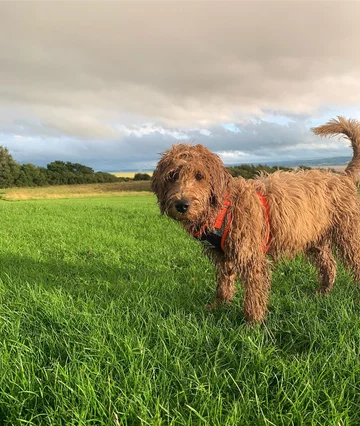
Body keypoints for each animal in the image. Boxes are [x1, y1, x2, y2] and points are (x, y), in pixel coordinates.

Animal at [150, 116, 360, 322]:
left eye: (200, 176)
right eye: (172, 176)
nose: (182, 204)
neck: (226, 206)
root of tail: (344, 177)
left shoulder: (251, 256)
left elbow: (253, 294)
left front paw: (252, 324)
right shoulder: (222, 255)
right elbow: (223, 283)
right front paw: (218, 306)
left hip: (348, 234)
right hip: (314, 238)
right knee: (329, 265)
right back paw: (323, 292)